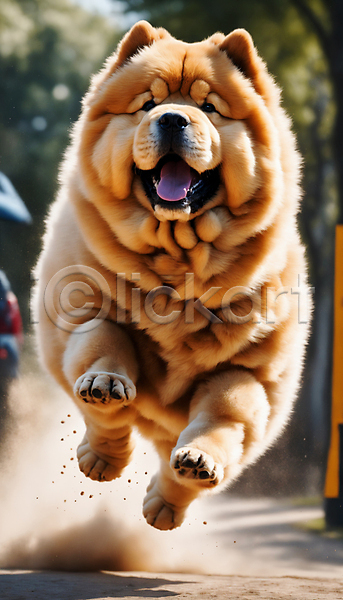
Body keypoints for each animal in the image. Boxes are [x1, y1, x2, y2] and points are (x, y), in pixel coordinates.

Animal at [34, 21, 312, 528]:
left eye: (209, 107)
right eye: (148, 104)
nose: (172, 119)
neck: (178, 262)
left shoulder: (246, 371)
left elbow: (225, 414)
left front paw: (199, 461)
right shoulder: (80, 314)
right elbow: (103, 342)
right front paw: (105, 387)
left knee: (176, 460)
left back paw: (164, 505)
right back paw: (101, 459)